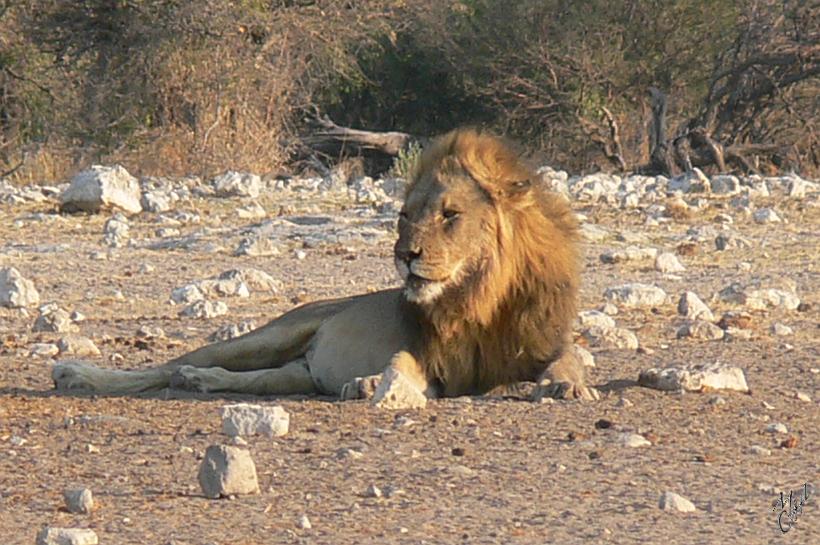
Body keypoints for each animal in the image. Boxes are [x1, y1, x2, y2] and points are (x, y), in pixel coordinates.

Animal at [52, 128, 598, 403]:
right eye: (404, 216)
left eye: (450, 215)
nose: (405, 255)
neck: (478, 298)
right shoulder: (430, 354)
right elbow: (400, 365)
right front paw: (373, 385)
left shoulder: (541, 338)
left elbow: (567, 358)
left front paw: (567, 385)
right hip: (271, 334)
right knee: (166, 366)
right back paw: (80, 376)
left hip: (294, 372)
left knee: (252, 380)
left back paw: (200, 382)